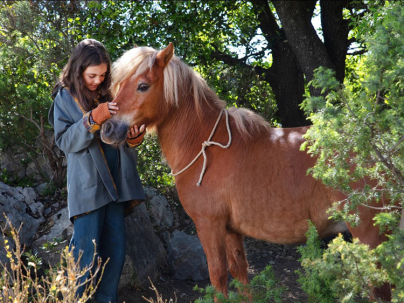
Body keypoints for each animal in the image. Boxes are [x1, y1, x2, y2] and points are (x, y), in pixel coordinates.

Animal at [101, 42, 392, 302]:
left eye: (142, 86)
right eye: (119, 85)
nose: (107, 128)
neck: (205, 146)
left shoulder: (209, 225)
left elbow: (218, 276)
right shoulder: (231, 231)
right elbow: (240, 275)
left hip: (369, 238)